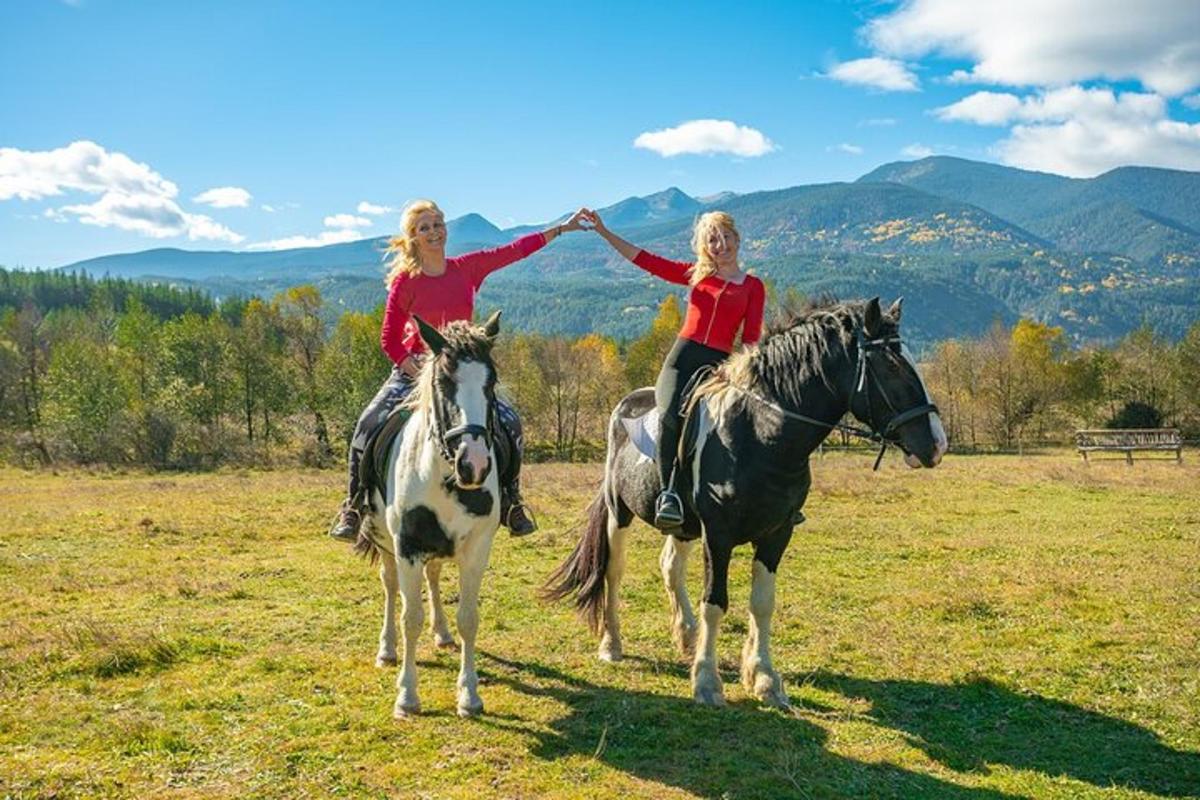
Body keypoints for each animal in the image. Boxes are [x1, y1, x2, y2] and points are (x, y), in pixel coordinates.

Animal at [360, 311, 501, 719]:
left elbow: (468, 619)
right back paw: (387, 650)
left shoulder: (476, 549)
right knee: (390, 586)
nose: (474, 464)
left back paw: (443, 635)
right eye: (443, 382)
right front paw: (407, 696)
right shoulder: (407, 546)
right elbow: (410, 618)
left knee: (434, 578)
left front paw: (469, 696)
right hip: (385, 540)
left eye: (491, 382)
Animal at [544, 298, 945, 705]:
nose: (937, 444)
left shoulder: (777, 533)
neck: (760, 434)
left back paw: (687, 636)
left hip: (683, 526)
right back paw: (612, 644)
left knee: (670, 566)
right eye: (892, 367)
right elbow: (715, 602)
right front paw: (707, 681)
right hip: (619, 512)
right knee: (614, 571)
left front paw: (764, 677)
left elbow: (762, 602)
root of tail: (626, 403)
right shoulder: (718, 534)